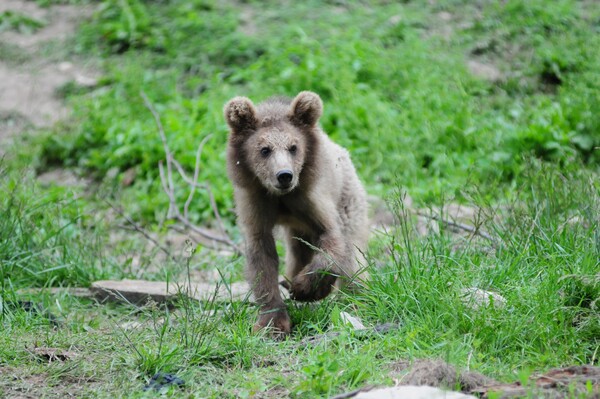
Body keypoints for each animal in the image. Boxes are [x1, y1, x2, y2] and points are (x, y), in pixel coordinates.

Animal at [223, 91, 368, 338]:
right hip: (298, 231)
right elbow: (261, 259)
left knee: (353, 258)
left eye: (293, 146)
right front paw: (272, 323)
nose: (284, 175)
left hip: (349, 200)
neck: (280, 199)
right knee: (298, 253)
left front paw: (305, 289)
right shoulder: (255, 204)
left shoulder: (311, 198)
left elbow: (333, 239)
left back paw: (357, 297)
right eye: (264, 149)